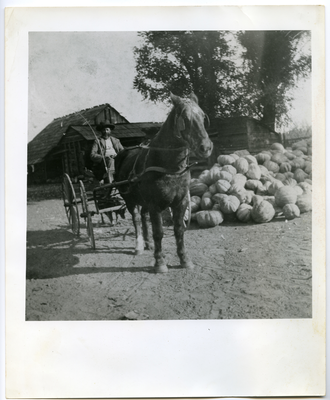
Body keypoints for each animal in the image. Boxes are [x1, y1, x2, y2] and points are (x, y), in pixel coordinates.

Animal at [115, 93, 214, 274]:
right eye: (185, 118)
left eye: (203, 117)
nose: (206, 147)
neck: (169, 167)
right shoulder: (155, 204)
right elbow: (159, 232)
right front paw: (159, 262)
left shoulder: (180, 202)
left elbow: (179, 230)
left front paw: (184, 259)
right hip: (130, 200)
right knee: (136, 219)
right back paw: (139, 246)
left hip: (143, 201)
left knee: (143, 216)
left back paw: (147, 244)